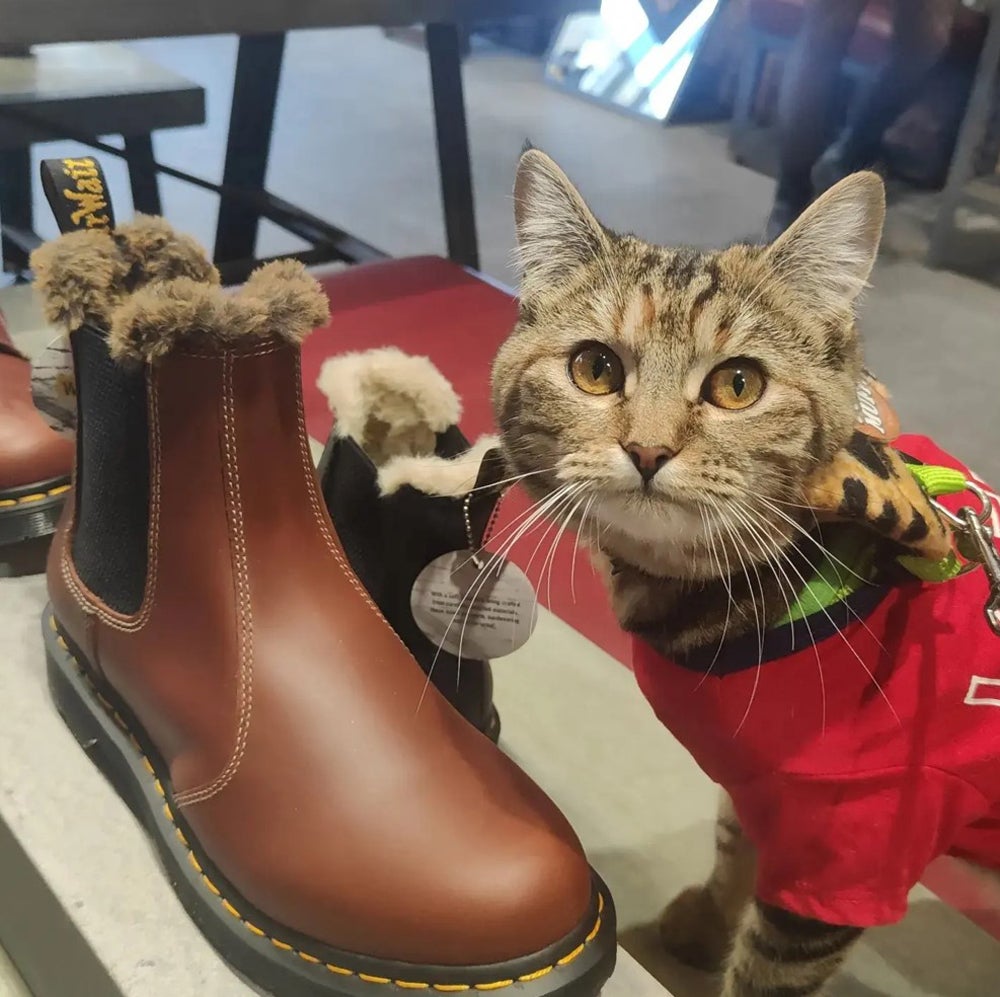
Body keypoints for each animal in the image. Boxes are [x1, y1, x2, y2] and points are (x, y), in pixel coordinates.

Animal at [492, 150, 892, 996]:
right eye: (595, 367)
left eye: (739, 384)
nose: (648, 449)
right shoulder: (762, 781)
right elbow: (738, 841)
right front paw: (706, 923)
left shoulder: (848, 839)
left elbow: (770, 968)